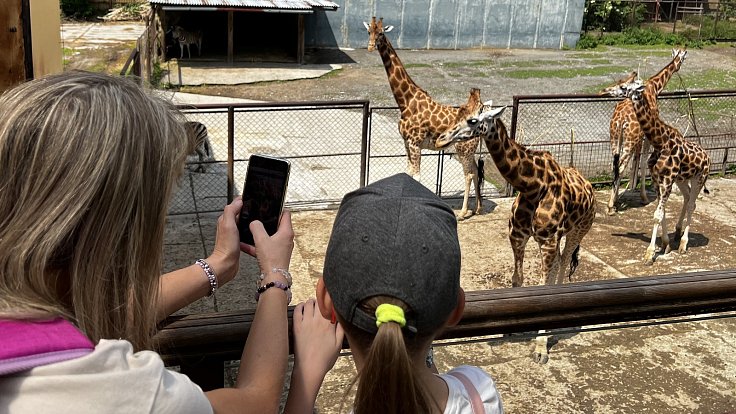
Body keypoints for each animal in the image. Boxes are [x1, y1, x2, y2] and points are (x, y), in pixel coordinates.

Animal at [366, 16, 486, 218]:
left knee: (469, 174)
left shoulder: (415, 143)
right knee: (476, 171)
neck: (406, 102)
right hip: (465, 151)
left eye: (381, 33)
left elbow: (417, 176)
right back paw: (477, 208)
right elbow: (408, 173)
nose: (370, 46)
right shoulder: (407, 143)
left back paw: (462, 212)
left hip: (463, 149)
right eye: (369, 31)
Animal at [440, 104, 596, 366]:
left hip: (579, 230)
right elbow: (517, 280)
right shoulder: (518, 236)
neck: (533, 185)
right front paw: (510, 328)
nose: (443, 138)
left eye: (472, 120)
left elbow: (544, 291)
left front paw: (541, 349)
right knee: (558, 264)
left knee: (564, 261)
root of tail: (589, 186)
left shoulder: (547, 240)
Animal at [604, 50, 688, 215]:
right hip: (629, 139)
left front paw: (626, 191)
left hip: (616, 138)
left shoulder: (639, 137)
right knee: (621, 166)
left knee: (615, 166)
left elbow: (635, 162)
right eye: (682, 58)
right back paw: (610, 206)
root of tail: (620, 120)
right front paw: (643, 197)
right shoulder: (648, 137)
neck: (654, 87)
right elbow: (643, 163)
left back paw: (612, 203)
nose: (678, 67)